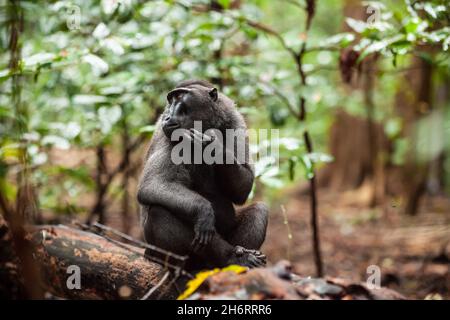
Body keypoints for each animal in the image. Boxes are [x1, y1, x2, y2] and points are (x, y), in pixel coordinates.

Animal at [137, 79, 268, 270]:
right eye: (171, 100)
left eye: (180, 97)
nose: (168, 116)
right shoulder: (166, 133)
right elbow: (152, 184)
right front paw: (203, 209)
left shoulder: (235, 122)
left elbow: (244, 185)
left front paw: (214, 144)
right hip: (161, 253)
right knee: (159, 211)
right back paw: (230, 258)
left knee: (260, 210)